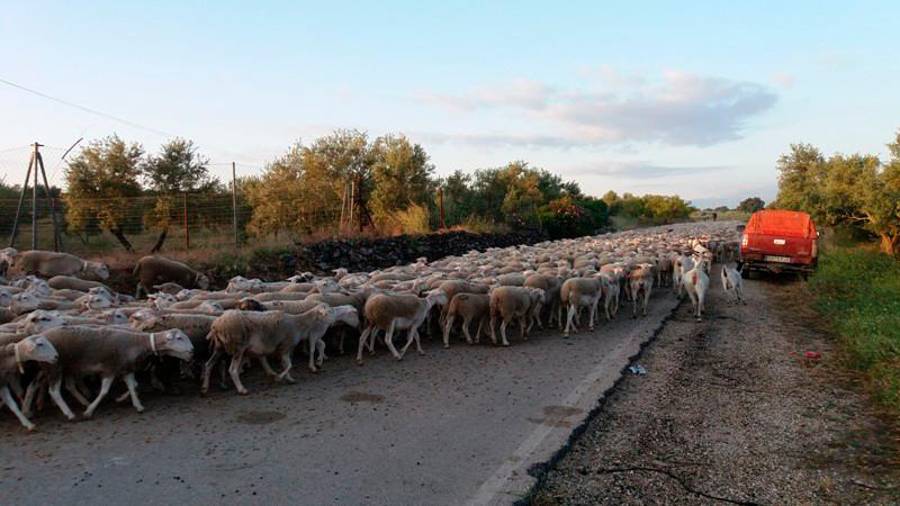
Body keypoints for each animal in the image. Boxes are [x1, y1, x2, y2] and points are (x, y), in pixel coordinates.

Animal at [204, 304, 358, 396]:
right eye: (329, 312)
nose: (339, 314)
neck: (299, 324)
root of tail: (216, 325)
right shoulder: (285, 346)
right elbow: (289, 365)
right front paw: (280, 377)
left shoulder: (286, 348)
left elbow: (287, 364)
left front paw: (289, 378)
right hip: (238, 347)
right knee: (232, 370)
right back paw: (242, 389)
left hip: (219, 348)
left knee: (208, 364)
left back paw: (204, 388)